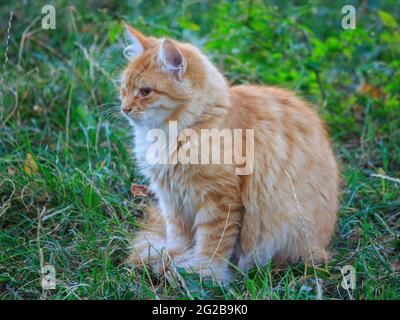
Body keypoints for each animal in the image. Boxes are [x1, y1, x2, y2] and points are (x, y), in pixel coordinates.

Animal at [121, 25, 338, 282]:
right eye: (125, 88)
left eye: (145, 91)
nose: (124, 109)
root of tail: (322, 244)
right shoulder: (172, 199)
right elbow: (178, 236)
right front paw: (174, 256)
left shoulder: (219, 199)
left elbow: (212, 243)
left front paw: (203, 272)